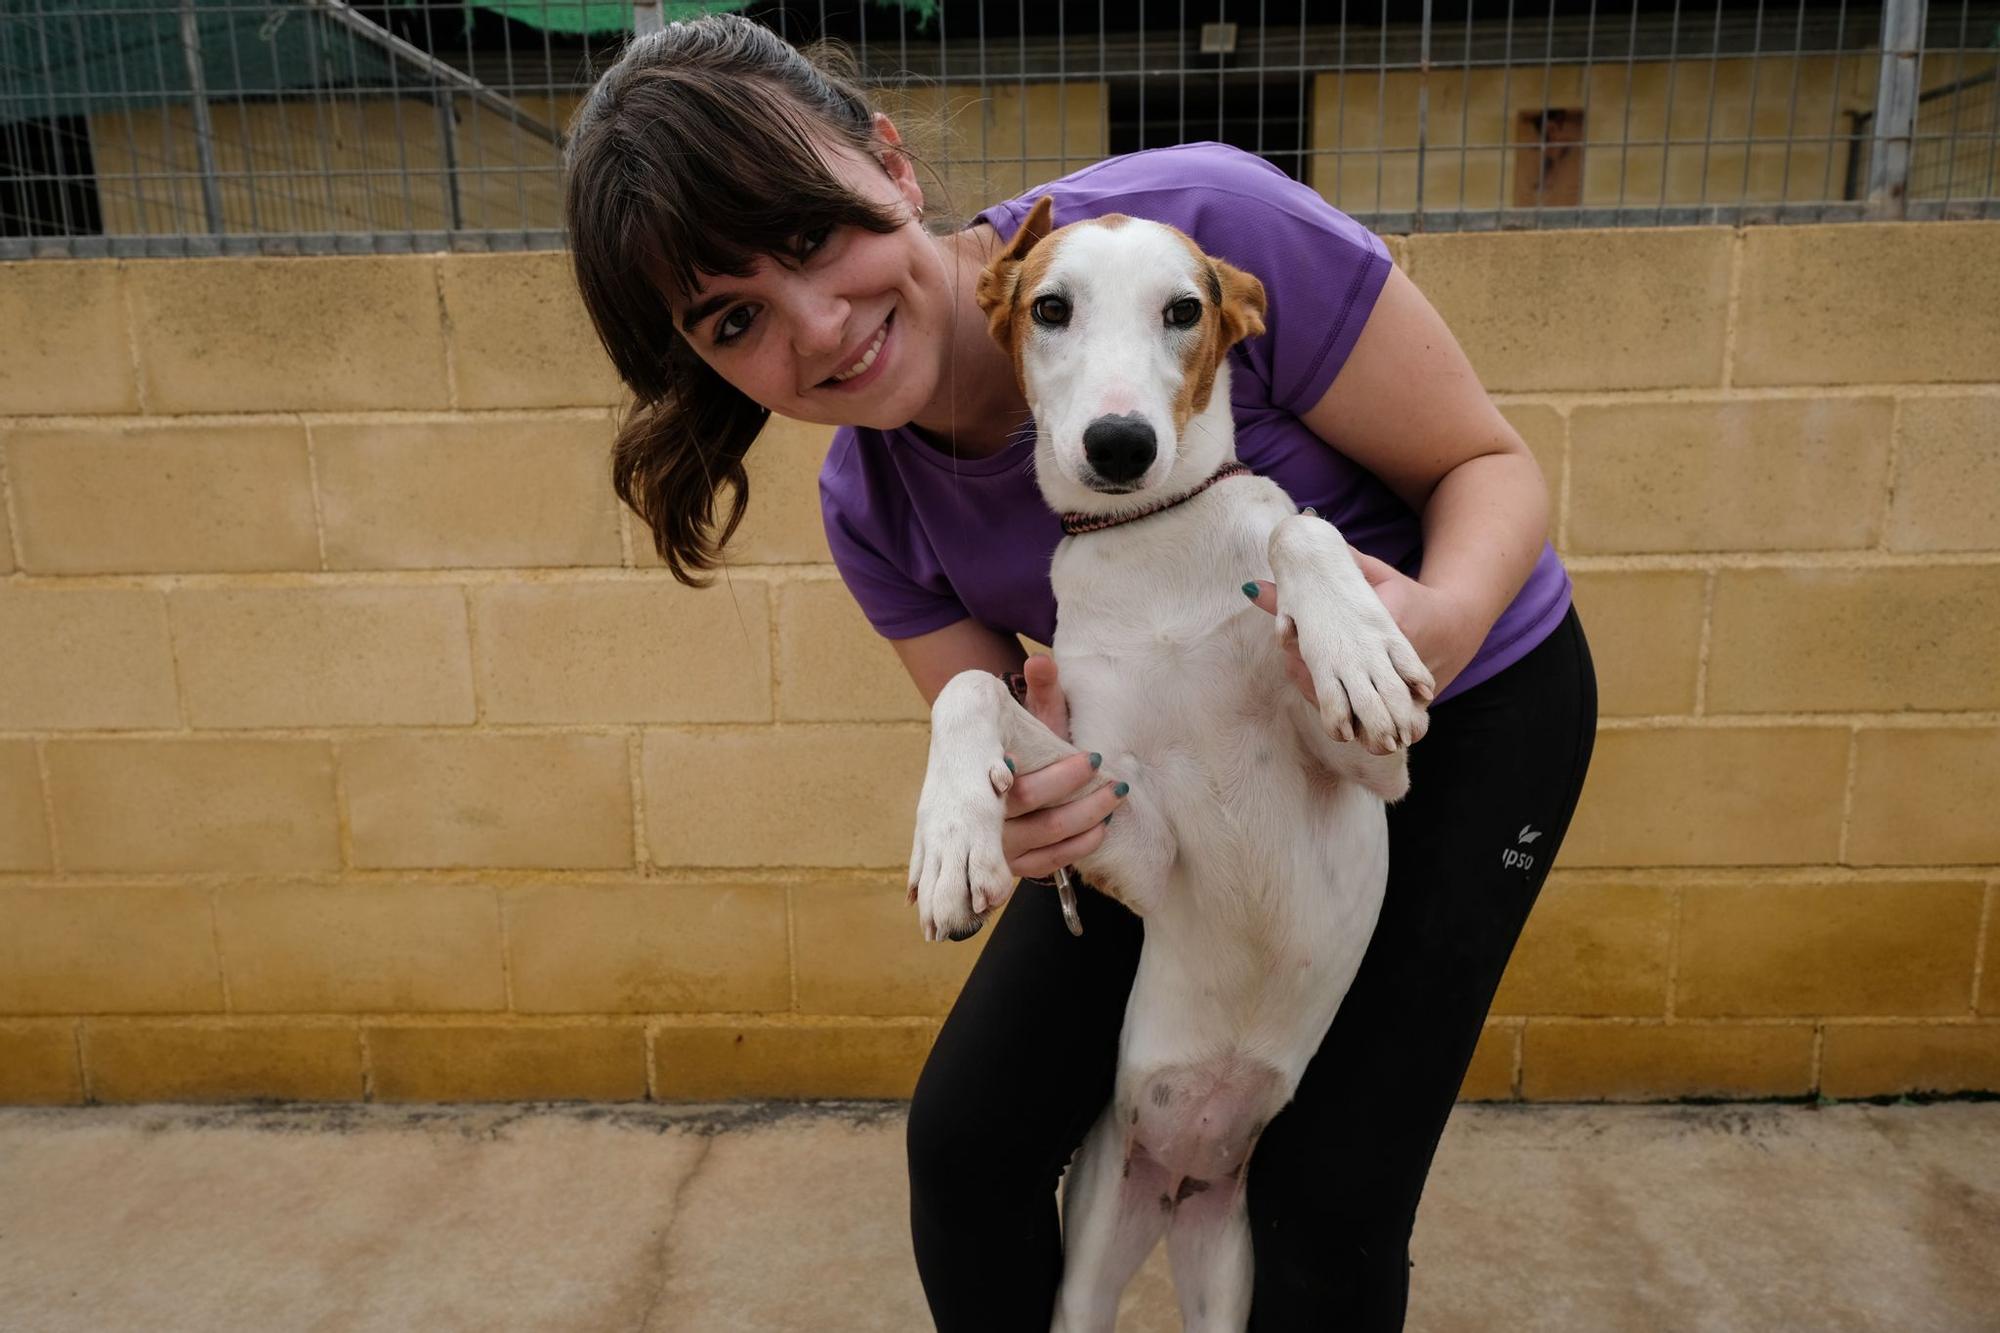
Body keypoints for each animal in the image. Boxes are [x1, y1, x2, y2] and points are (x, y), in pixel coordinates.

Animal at [908, 197, 1440, 1328]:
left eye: (1184, 309)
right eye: (1050, 308)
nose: (1119, 444)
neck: (1148, 540)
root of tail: (1189, 1165)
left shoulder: (1375, 768)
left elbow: (1300, 530)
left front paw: (1355, 642)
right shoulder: (1129, 831)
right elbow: (971, 684)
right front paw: (952, 839)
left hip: (1228, 1264)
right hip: (1098, 1240)